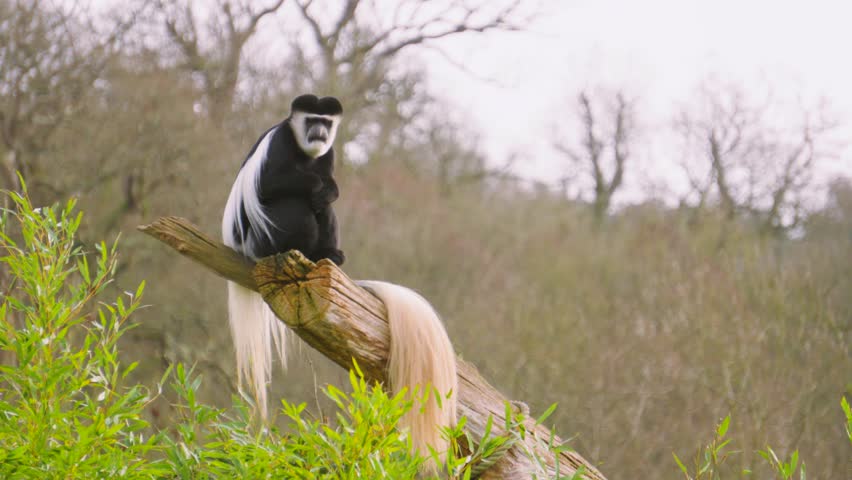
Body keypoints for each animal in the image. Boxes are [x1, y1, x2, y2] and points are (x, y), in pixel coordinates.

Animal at [221, 94, 457, 464]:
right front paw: (318, 187)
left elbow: (327, 188)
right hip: (260, 237)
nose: (318, 132)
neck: (305, 150)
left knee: (324, 209)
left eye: (326, 123)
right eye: (310, 120)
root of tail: (239, 244)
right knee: (296, 204)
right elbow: (273, 184)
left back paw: (329, 255)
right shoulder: (280, 144)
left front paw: (328, 193)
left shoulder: (328, 154)